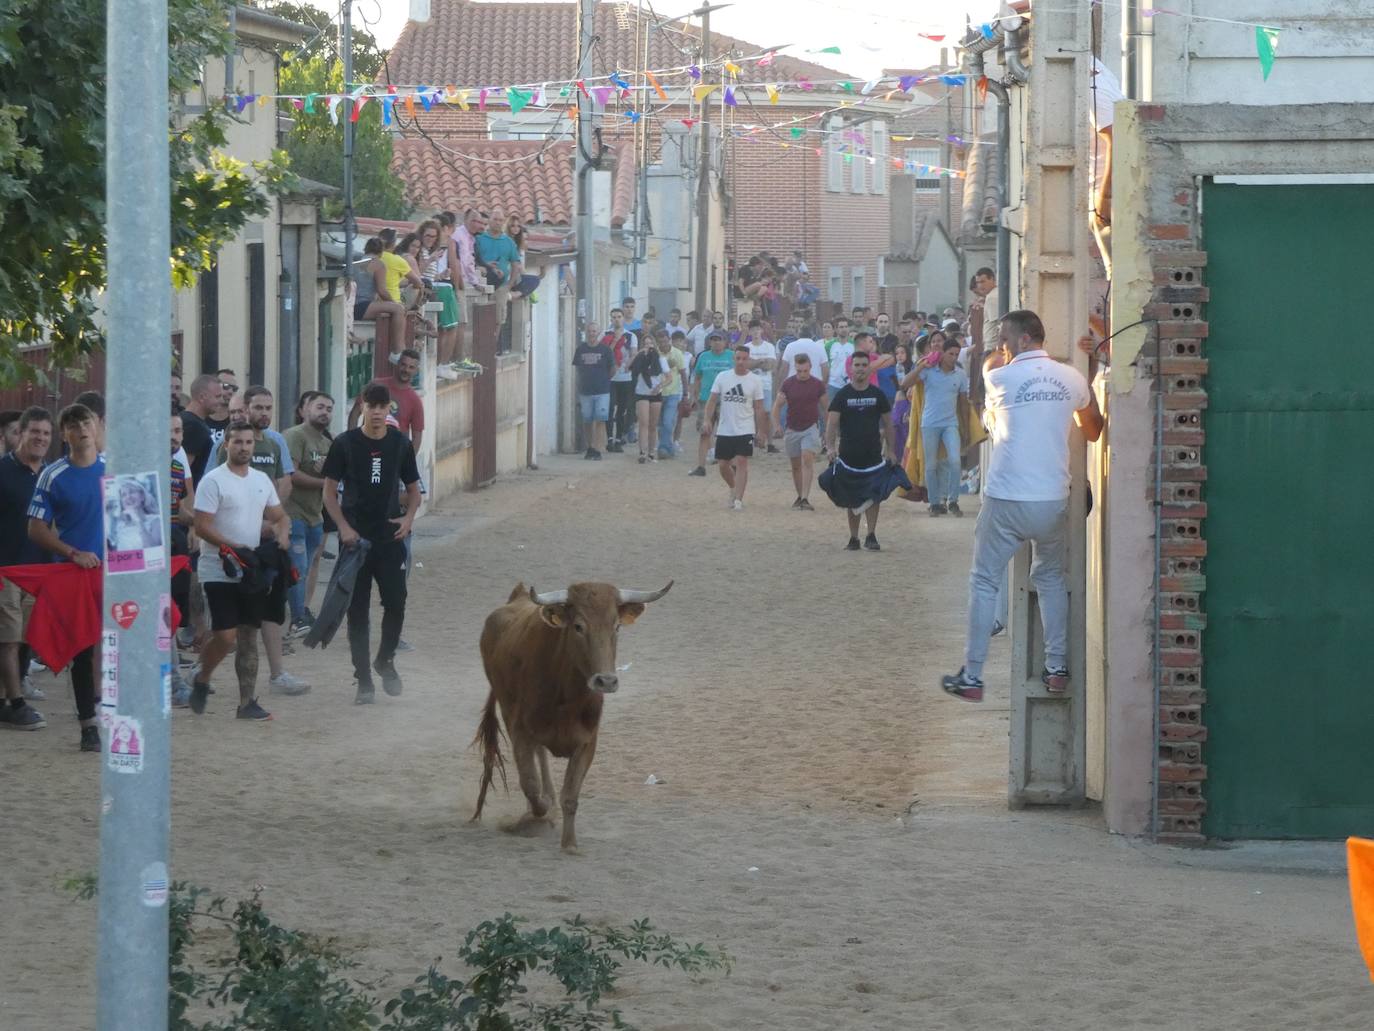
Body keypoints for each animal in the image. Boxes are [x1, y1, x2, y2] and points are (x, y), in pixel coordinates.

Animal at [469, 582, 673, 857]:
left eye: (616, 626)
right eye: (578, 626)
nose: (606, 681)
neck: (566, 697)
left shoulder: (587, 743)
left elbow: (571, 795)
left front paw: (570, 843)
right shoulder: (521, 730)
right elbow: (530, 784)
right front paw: (538, 814)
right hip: (506, 708)